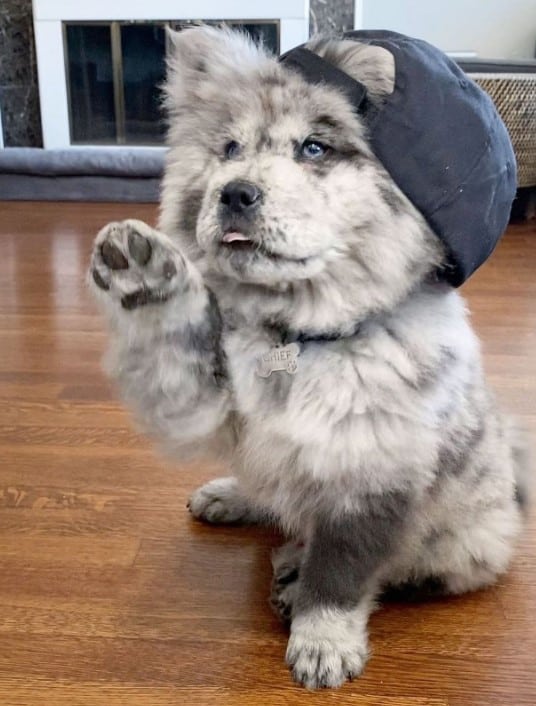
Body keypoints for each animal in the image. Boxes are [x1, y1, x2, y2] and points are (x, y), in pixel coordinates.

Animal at [88, 27, 528, 688]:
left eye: (314, 148)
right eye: (230, 148)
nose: (235, 192)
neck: (299, 336)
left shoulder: (369, 478)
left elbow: (340, 573)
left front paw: (322, 641)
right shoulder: (202, 402)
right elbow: (174, 338)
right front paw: (145, 271)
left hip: (466, 539)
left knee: (409, 565)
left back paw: (292, 573)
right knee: (271, 488)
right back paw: (233, 495)